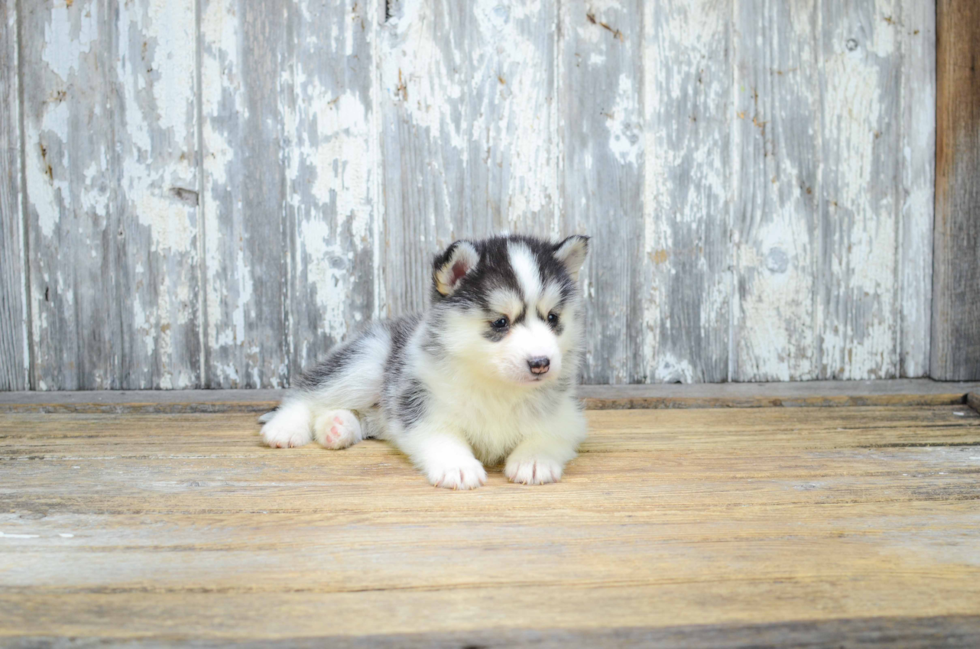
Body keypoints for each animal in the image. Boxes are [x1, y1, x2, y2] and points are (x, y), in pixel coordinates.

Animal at [260, 233, 588, 486]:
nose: (541, 363)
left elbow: (549, 435)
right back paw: (286, 427)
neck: (496, 385)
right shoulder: (420, 406)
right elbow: (442, 437)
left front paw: (534, 460)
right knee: (308, 392)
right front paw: (458, 466)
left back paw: (336, 427)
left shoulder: (566, 415)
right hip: (366, 362)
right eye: (500, 322)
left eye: (552, 318)